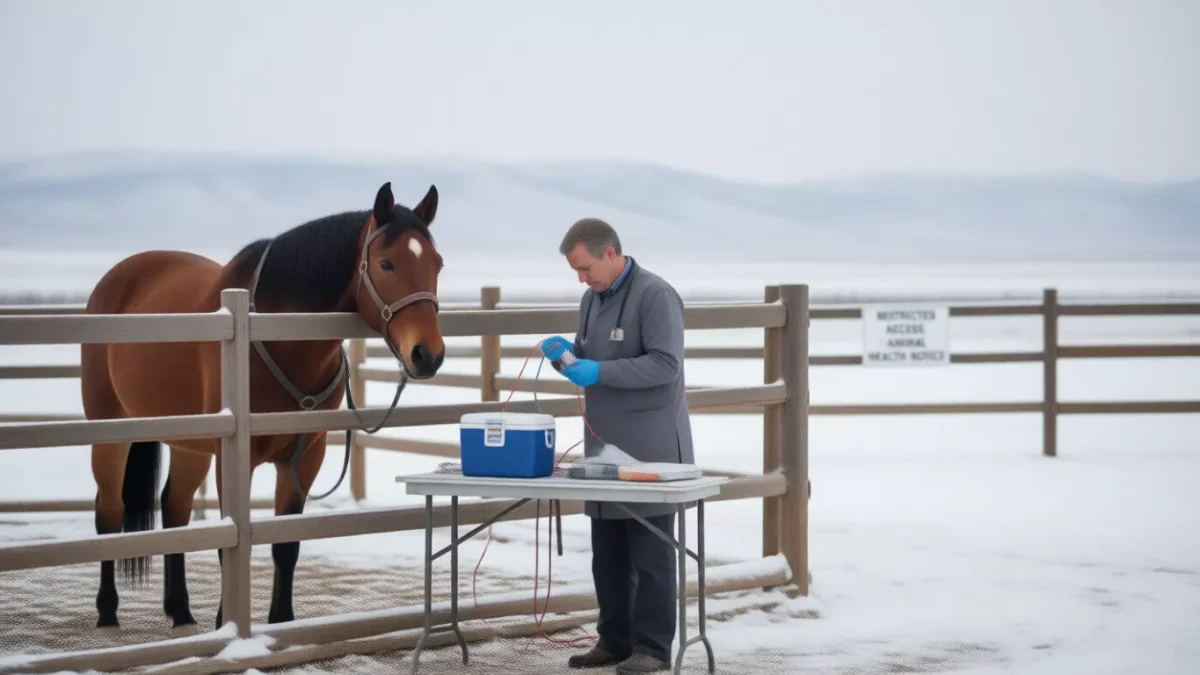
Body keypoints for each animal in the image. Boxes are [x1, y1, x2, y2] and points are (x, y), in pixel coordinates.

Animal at [79, 181, 446, 633]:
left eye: (437, 264)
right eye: (386, 263)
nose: (427, 355)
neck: (276, 336)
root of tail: (118, 276)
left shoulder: (305, 456)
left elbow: (285, 546)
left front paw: (281, 621)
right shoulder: (235, 456)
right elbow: (230, 542)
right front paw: (227, 624)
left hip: (189, 443)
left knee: (175, 510)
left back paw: (180, 612)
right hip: (110, 430)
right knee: (109, 513)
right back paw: (108, 612)